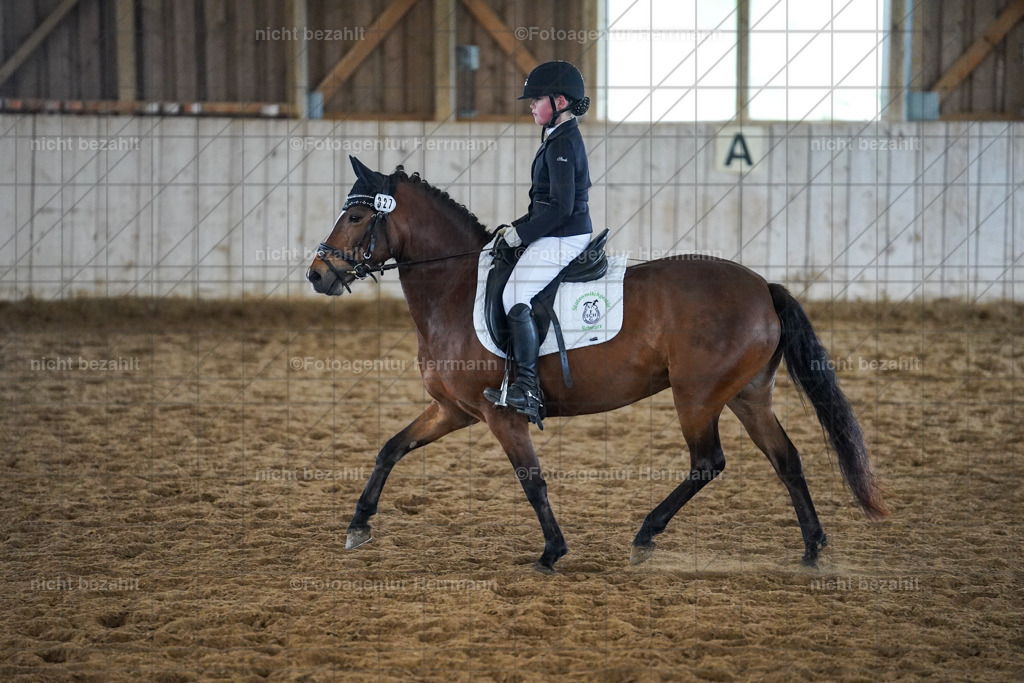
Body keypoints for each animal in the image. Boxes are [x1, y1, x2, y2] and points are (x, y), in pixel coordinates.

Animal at [306, 156, 887, 574]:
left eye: (356, 216)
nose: (316, 274)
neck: (453, 287)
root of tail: (763, 287)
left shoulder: (501, 414)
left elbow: (532, 479)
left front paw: (551, 553)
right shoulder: (455, 410)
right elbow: (390, 448)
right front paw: (358, 525)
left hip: (696, 397)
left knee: (708, 461)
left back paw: (645, 536)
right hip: (747, 395)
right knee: (786, 458)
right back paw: (812, 549)